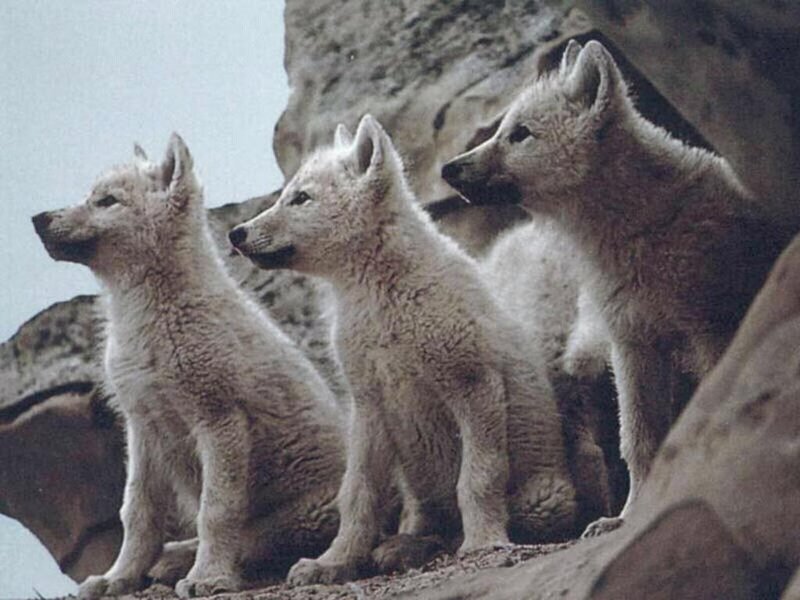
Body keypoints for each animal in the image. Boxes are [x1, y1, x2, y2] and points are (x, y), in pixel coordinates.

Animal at [32, 135, 345, 598]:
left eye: (107, 201)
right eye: (92, 196)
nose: (38, 219)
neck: (152, 319)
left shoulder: (219, 420)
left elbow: (216, 511)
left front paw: (208, 576)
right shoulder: (142, 427)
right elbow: (136, 512)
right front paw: (117, 577)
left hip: (309, 512)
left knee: (256, 539)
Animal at [230, 115, 579, 585]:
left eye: (301, 198)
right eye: (287, 195)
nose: (236, 233)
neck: (383, 300)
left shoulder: (475, 384)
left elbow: (478, 477)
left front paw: (484, 541)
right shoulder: (369, 404)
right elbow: (357, 493)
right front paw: (332, 562)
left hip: (544, 499)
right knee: (423, 521)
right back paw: (400, 547)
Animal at [442, 40, 791, 535]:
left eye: (520, 134)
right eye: (504, 129)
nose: (450, 169)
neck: (642, 227)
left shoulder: (711, 329)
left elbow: (712, 412)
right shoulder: (633, 344)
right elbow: (639, 439)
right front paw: (627, 516)